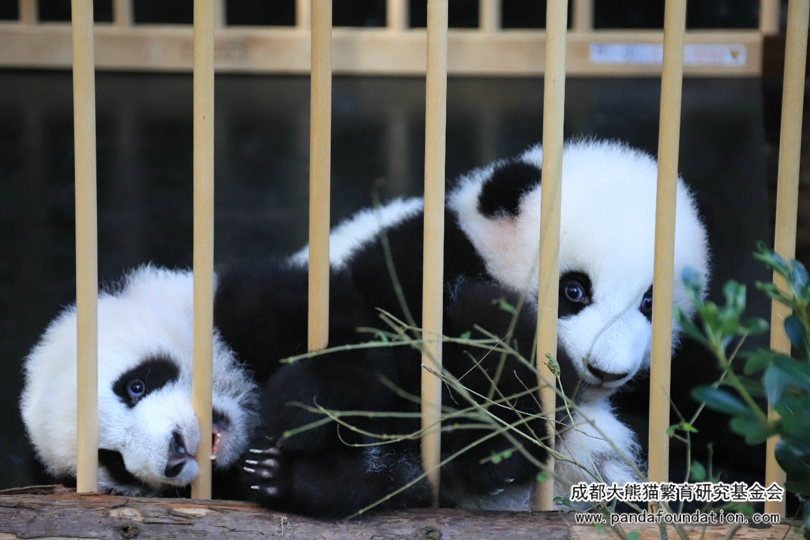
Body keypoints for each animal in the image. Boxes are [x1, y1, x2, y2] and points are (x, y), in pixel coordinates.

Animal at [235, 138, 709, 515]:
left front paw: (495, 449)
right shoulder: (421, 259)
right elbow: (371, 326)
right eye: (574, 290)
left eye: (649, 302)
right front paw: (302, 406)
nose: (606, 371)